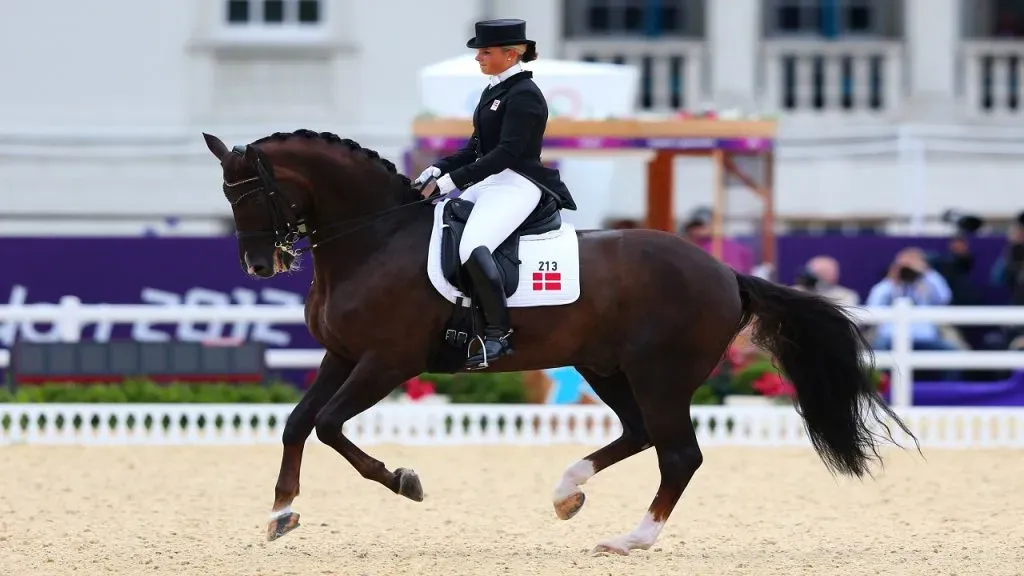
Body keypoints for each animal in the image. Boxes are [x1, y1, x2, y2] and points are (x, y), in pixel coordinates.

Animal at [197, 129, 913, 553]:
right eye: (228, 196)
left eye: (253, 193)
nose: (260, 266)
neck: (375, 239)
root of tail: (723, 272)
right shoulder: (341, 355)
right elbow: (298, 423)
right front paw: (282, 513)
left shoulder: (386, 362)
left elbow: (329, 426)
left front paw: (405, 481)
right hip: (605, 366)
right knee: (641, 434)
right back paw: (569, 492)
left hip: (659, 373)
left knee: (679, 453)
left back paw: (632, 538)